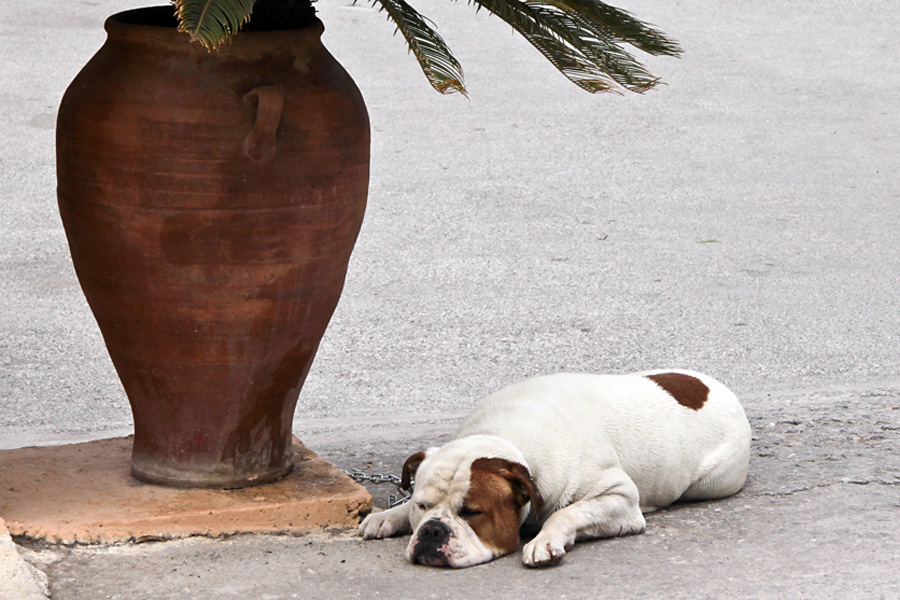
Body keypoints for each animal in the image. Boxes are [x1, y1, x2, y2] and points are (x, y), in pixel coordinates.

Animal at [358, 370, 751, 568]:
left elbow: (566, 513)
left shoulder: (620, 498)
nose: (432, 530)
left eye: (472, 512)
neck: (504, 439)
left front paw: (544, 542)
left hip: (713, 481)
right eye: (422, 506)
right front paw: (388, 516)